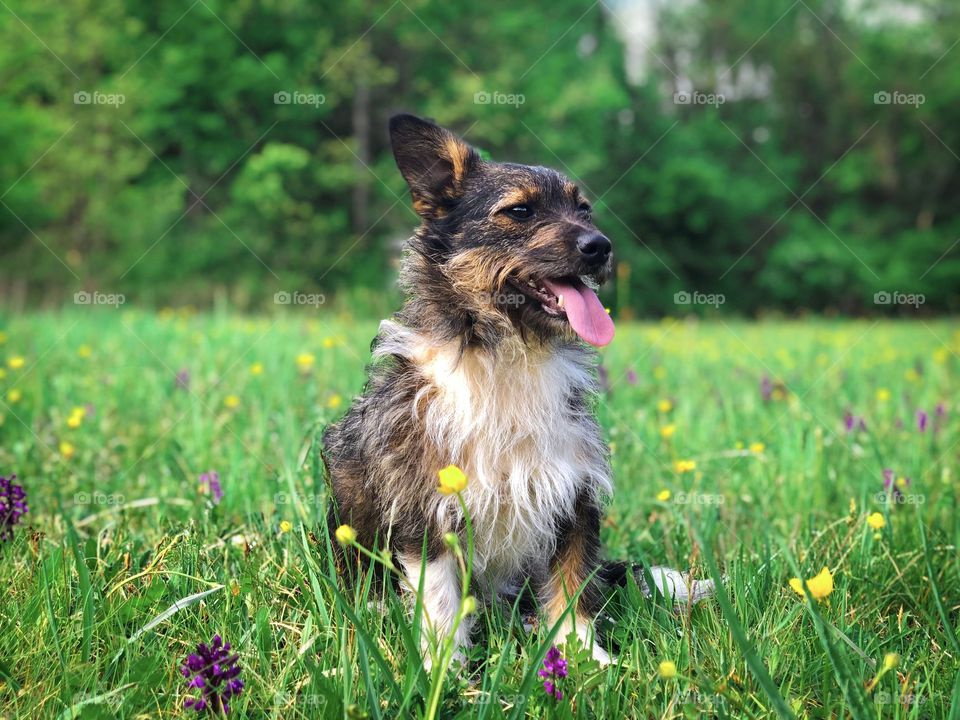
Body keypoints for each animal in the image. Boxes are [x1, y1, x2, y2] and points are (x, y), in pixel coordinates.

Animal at [324, 114, 712, 668]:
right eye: (520, 211)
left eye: (583, 208)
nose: (600, 245)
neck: (509, 351)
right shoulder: (427, 504)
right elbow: (439, 599)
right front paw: (442, 667)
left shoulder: (572, 493)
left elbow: (573, 583)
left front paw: (584, 656)